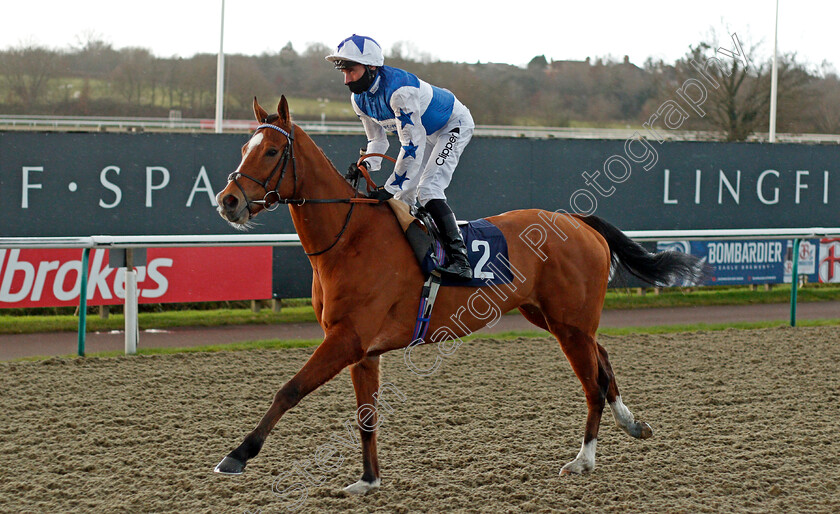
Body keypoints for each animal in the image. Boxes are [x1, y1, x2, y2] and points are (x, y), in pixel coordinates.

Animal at [212, 96, 708, 492]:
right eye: (243, 148)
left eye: (271, 150)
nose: (228, 201)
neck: (349, 236)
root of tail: (577, 220)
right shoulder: (362, 349)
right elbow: (367, 415)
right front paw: (368, 480)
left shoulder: (346, 338)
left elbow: (289, 390)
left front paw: (237, 455)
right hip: (556, 318)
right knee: (602, 362)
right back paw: (632, 423)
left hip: (570, 324)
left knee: (592, 383)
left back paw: (583, 459)